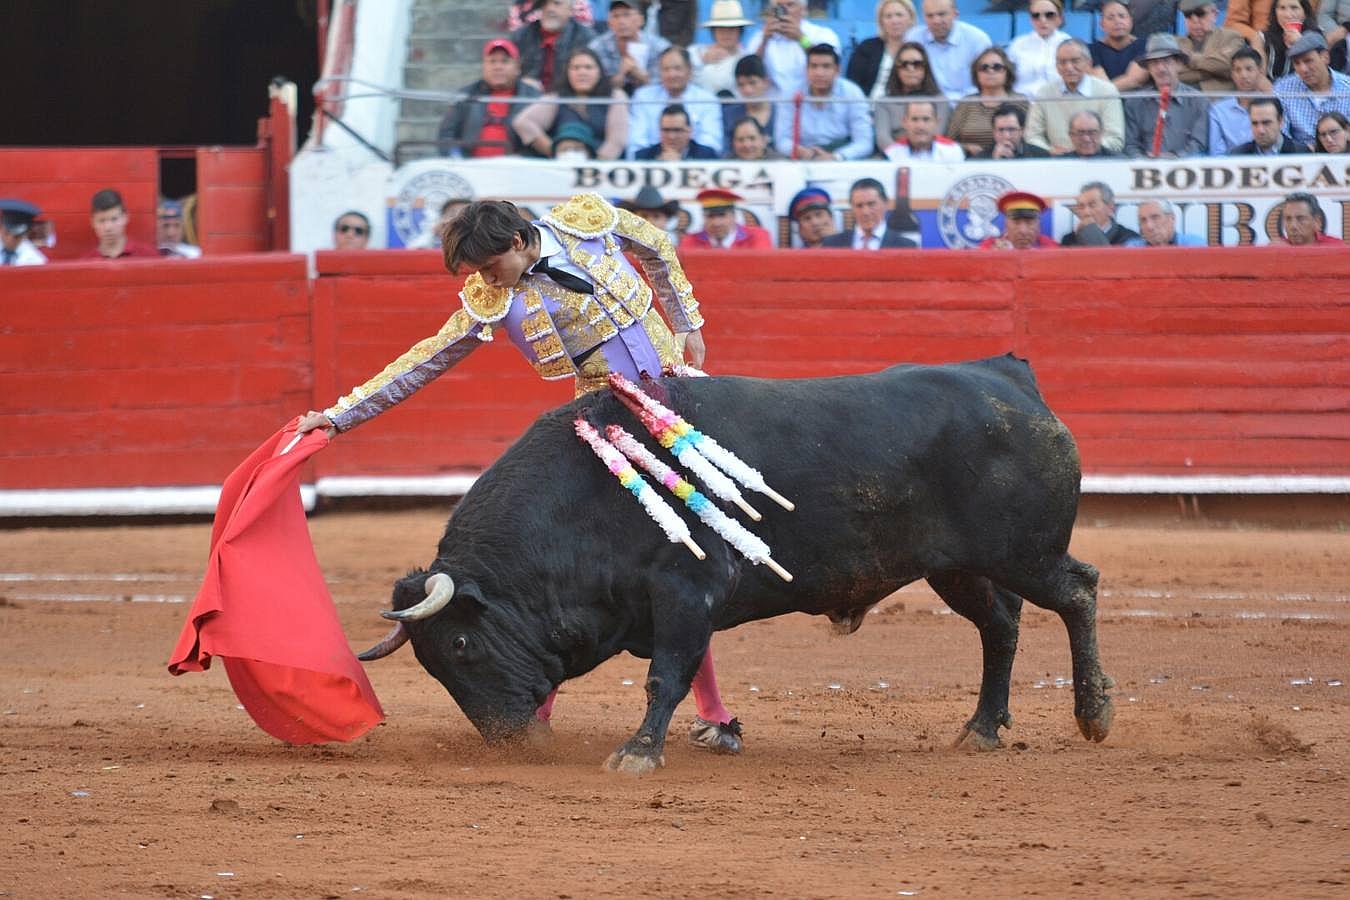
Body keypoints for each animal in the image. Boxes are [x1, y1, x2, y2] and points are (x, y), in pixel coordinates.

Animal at [359, 356, 1107, 777]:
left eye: (460, 643)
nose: (508, 741)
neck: (585, 496)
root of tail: (1010, 379)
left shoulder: (687, 593)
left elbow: (666, 674)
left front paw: (637, 753)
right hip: (959, 567)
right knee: (1001, 625)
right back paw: (980, 730)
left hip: (1023, 553)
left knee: (1078, 591)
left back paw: (1094, 714)